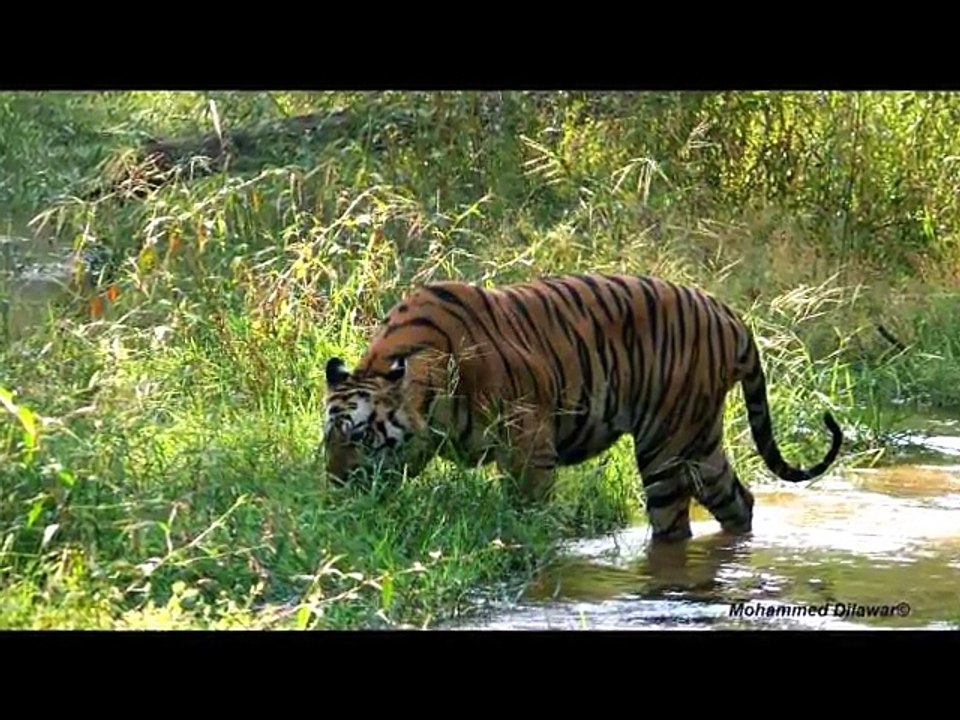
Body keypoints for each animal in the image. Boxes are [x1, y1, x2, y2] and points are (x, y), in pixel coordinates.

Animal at [322, 273, 843, 542]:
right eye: (328, 440)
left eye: (360, 436)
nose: (332, 488)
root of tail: (729, 315)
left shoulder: (528, 445)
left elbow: (527, 507)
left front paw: (523, 541)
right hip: (700, 444)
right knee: (739, 500)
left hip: (667, 445)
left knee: (673, 523)